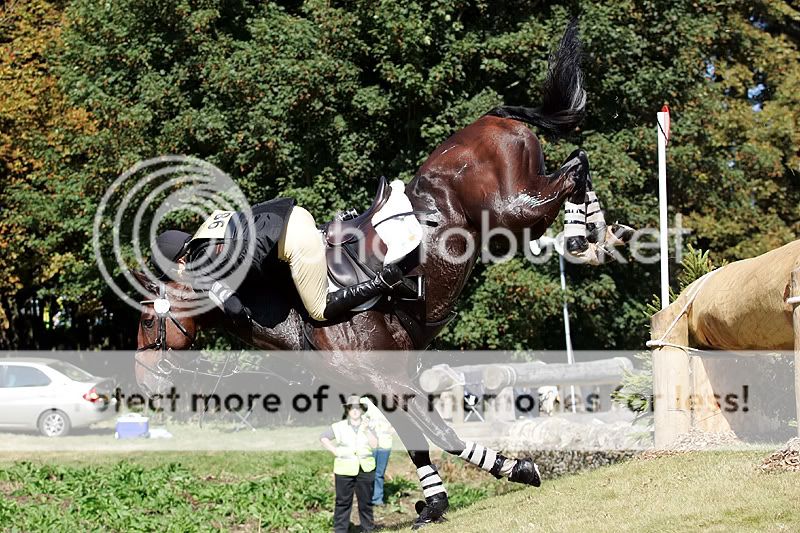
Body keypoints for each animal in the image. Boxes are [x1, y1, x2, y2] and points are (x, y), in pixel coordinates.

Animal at [134, 18, 592, 524]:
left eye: (148, 319)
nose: (142, 386)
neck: (293, 311)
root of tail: (490, 118)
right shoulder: (383, 387)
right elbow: (419, 445)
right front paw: (434, 503)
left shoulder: (390, 378)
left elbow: (444, 437)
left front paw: (518, 469)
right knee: (574, 162)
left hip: (511, 211)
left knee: (575, 167)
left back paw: (587, 234)